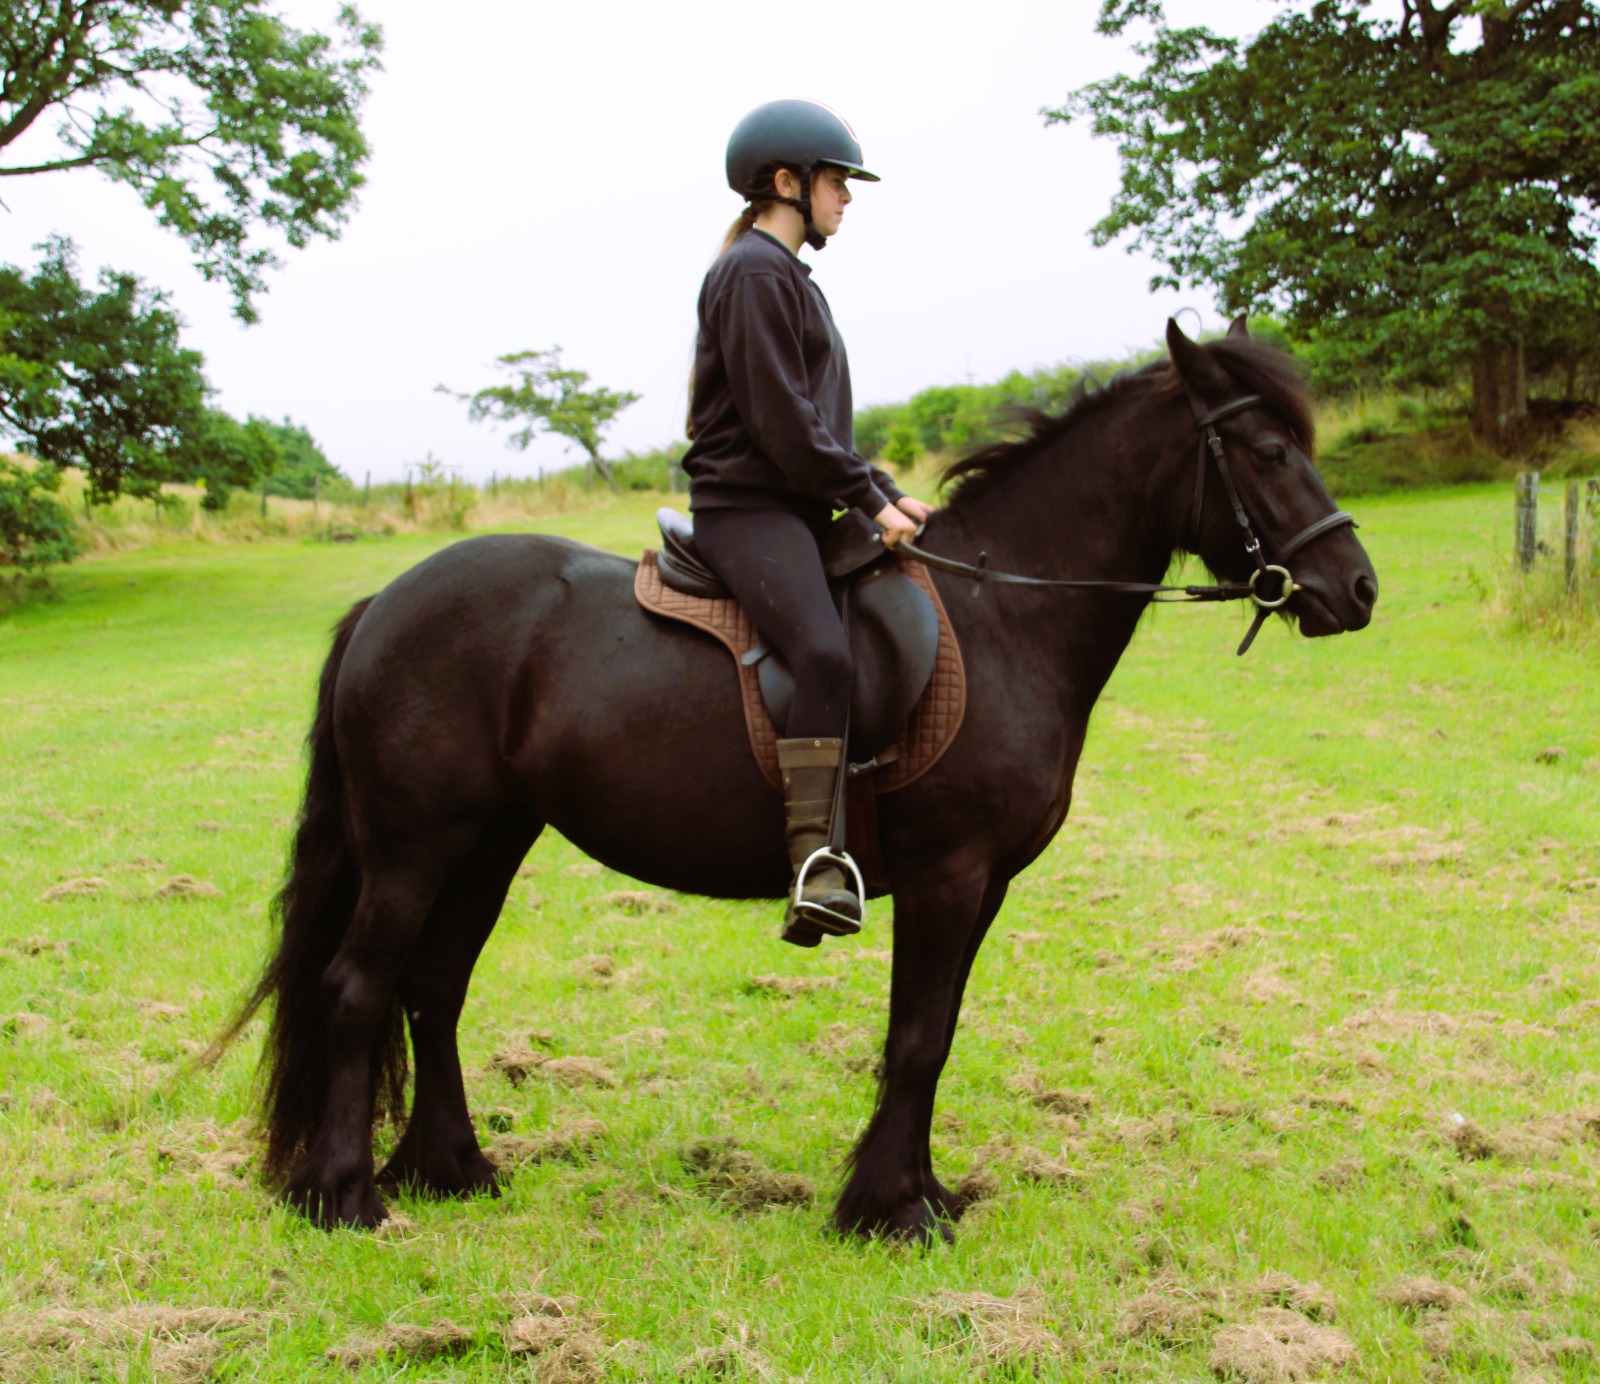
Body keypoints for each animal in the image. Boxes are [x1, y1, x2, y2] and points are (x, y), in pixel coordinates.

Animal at [218, 318, 1377, 1242]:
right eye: (1268, 450)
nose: (1356, 588)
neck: (1007, 610)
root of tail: (386, 600)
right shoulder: (952, 877)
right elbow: (916, 1039)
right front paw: (890, 1212)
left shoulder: (983, 887)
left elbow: (934, 1037)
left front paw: (918, 1193)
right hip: (414, 847)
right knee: (358, 987)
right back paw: (347, 1196)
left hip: (489, 840)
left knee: (433, 985)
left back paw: (451, 1169)